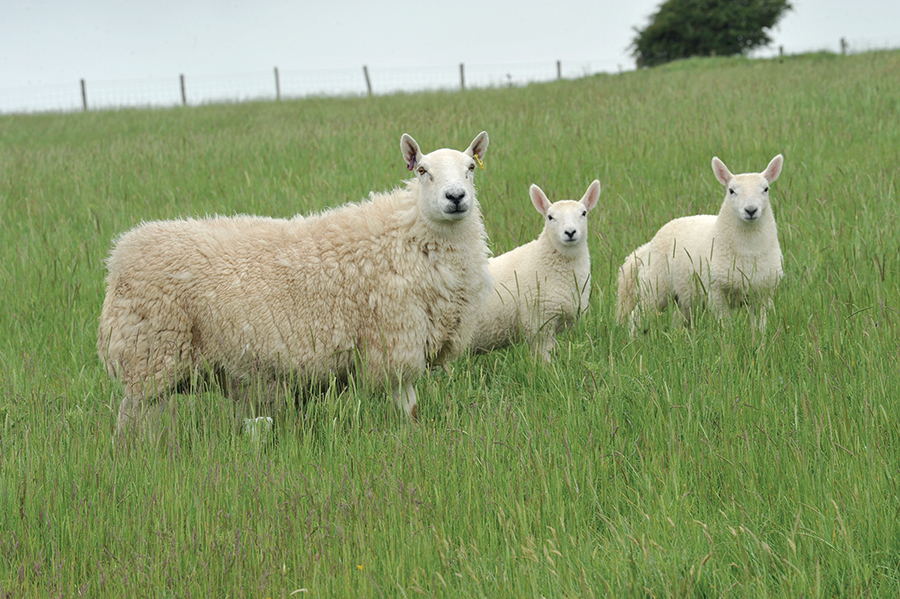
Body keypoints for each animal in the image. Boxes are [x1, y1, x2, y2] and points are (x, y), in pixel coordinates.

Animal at [99, 131, 496, 434]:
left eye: (470, 168)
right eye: (423, 171)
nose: (456, 198)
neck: (408, 237)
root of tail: (121, 253)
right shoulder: (395, 340)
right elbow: (409, 406)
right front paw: (414, 439)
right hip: (149, 352)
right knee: (133, 416)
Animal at [616, 154, 784, 332]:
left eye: (766, 189)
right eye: (731, 190)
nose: (751, 210)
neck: (749, 251)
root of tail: (648, 246)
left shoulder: (763, 293)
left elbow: (759, 327)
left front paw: (759, 340)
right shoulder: (716, 290)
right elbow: (725, 324)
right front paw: (728, 339)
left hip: (686, 294)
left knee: (679, 320)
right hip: (654, 285)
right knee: (637, 317)